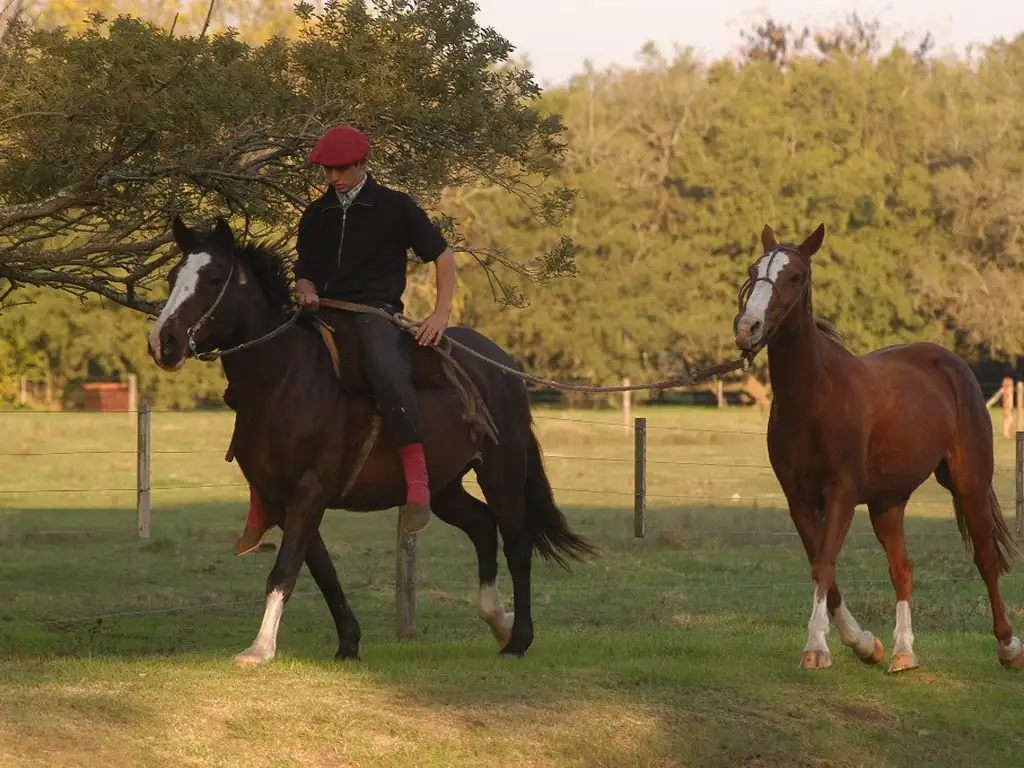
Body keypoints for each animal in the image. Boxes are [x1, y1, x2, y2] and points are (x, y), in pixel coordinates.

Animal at [144, 218, 593, 667]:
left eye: (214, 278)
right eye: (172, 276)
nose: (163, 342)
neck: (286, 381)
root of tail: (504, 366)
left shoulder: (311, 487)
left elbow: (286, 567)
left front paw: (260, 649)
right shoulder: (283, 498)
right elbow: (321, 569)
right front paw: (348, 642)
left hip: (501, 470)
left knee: (517, 544)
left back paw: (518, 640)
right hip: (444, 487)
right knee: (483, 526)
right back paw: (498, 622)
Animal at [733, 222, 1019, 671]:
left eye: (794, 276)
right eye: (753, 270)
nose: (748, 328)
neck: (815, 397)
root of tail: (952, 364)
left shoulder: (843, 492)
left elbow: (824, 564)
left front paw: (817, 647)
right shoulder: (799, 499)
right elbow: (825, 569)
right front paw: (865, 644)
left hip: (968, 482)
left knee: (986, 560)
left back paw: (1008, 646)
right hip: (888, 502)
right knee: (902, 568)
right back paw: (903, 653)